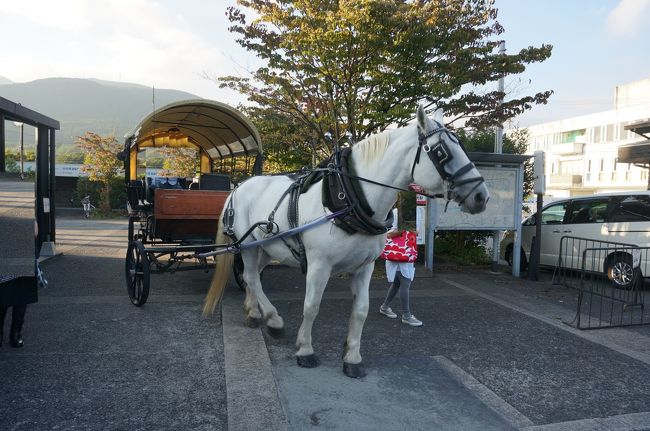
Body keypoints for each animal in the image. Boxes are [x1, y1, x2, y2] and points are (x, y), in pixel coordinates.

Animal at [202, 106, 486, 380]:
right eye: (441, 152)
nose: (482, 196)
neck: (350, 199)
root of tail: (240, 186)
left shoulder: (365, 267)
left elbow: (361, 310)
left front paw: (352, 358)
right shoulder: (319, 265)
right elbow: (311, 306)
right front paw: (305, 350)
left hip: (264, 247)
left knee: (252, 278)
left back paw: (253, 312)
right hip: (247, 243)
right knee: (251, 277)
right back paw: (273, 320)